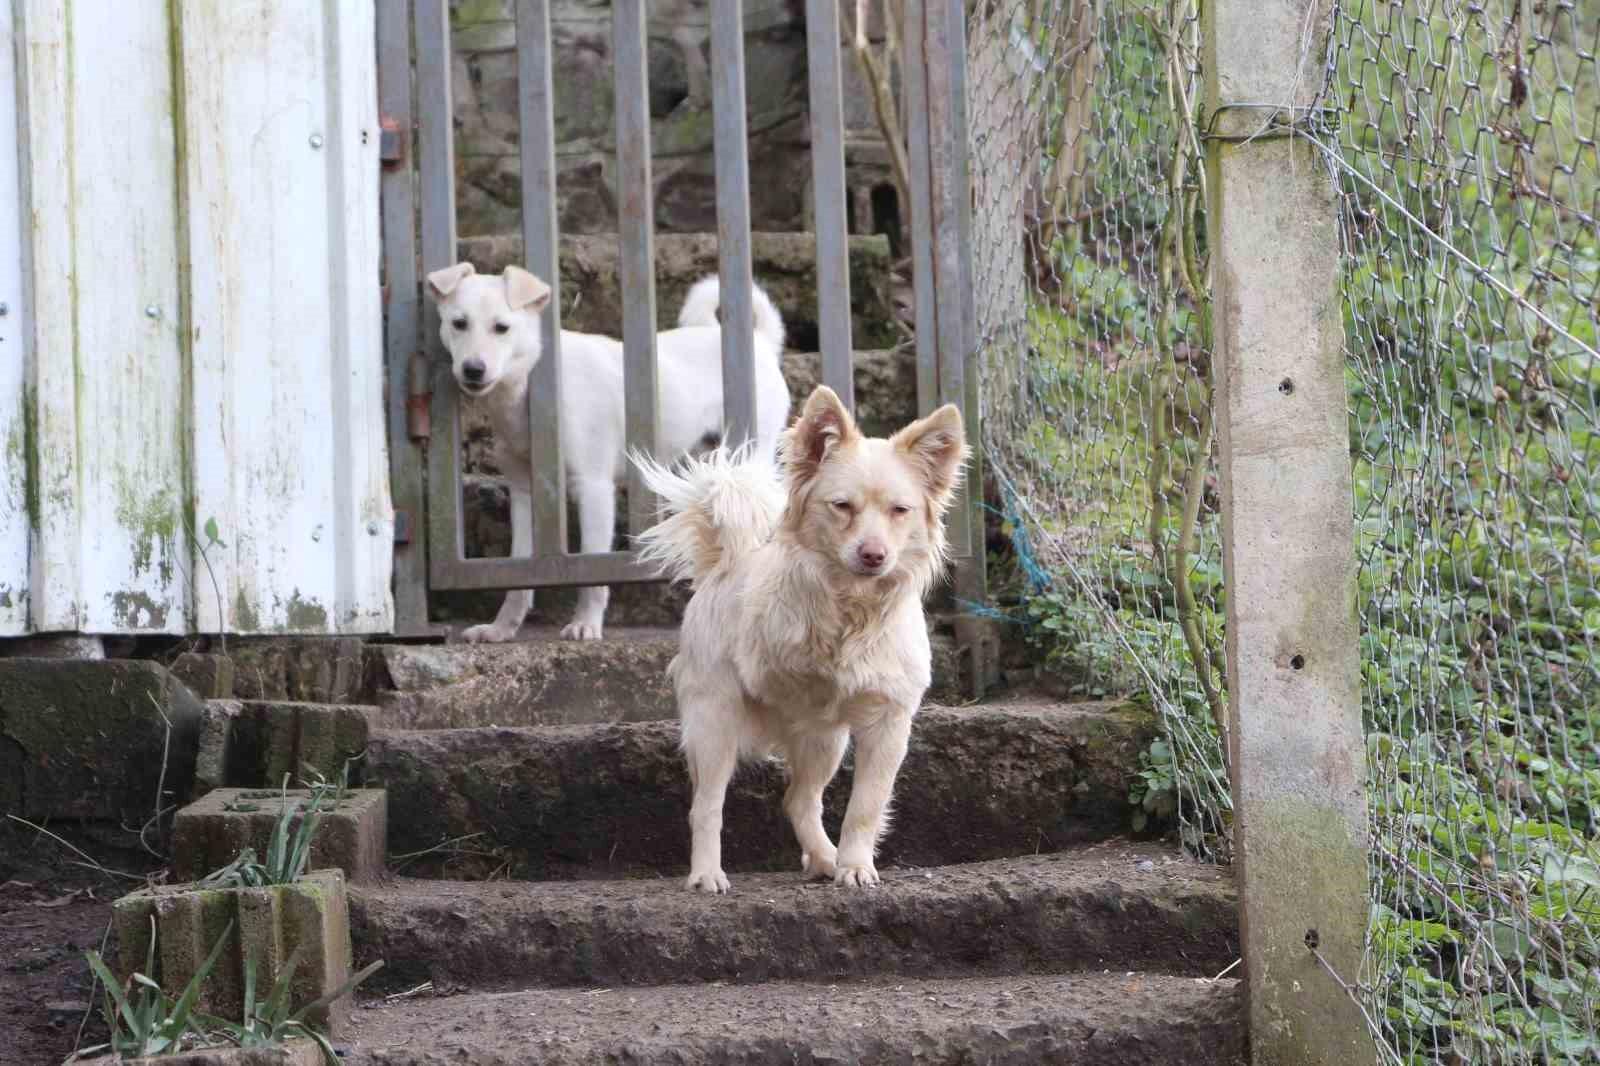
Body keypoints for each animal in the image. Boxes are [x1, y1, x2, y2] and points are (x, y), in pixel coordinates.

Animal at [428, 265, 790, 643]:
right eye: (458, 323)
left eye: (502, 327)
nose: (473, 369)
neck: (535, 390)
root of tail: (760, 342)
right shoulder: (526, 497)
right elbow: (518, 575)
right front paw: (502, 628)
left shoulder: (594, 489)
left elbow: (592, 569)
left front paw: (586, 623)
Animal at [633, 384, 960, 889]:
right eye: (842, 506)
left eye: (899, 511)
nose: (873, 555)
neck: (852, 606)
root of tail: (721, 565)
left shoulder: (887, 724)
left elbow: (864, 808)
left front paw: (855, 866)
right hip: (715, 723)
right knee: (706, 807)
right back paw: (707, 873)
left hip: (825, 743)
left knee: (799, 799)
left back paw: (826, 858)